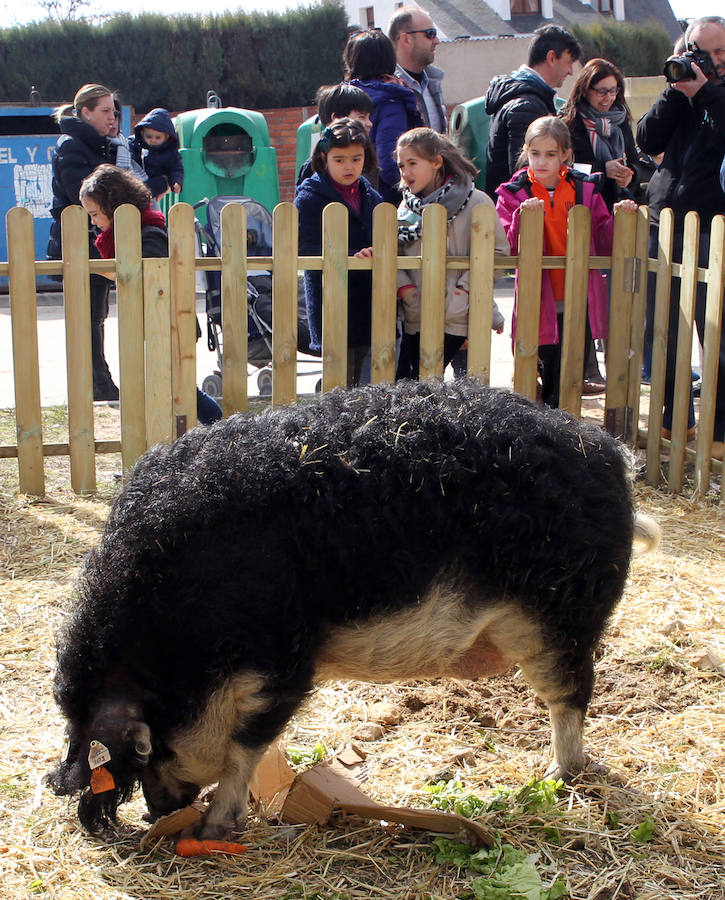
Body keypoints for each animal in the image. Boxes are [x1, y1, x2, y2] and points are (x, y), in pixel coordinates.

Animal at [46, 378, 656, 836]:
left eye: (148, 748)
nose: (158, 812)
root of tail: (610, 455)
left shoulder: (282, 662)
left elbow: (244, 747)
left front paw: (213, 830)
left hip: (564, 617)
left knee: (572, 696)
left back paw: (553, 775)